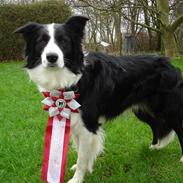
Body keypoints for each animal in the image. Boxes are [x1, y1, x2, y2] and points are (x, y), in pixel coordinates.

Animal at [15, 16, 183, 183]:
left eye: (63, 41)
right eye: (41, 41)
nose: (51, 57)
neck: (72, 77)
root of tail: (171, 65)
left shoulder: (88, 123)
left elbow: (82, 155)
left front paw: (77, 178)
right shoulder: (74, 119)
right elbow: (80, 151)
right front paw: (81, 169)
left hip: (171, 111)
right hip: (145, 111)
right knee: (157, 125)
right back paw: (155, 147)